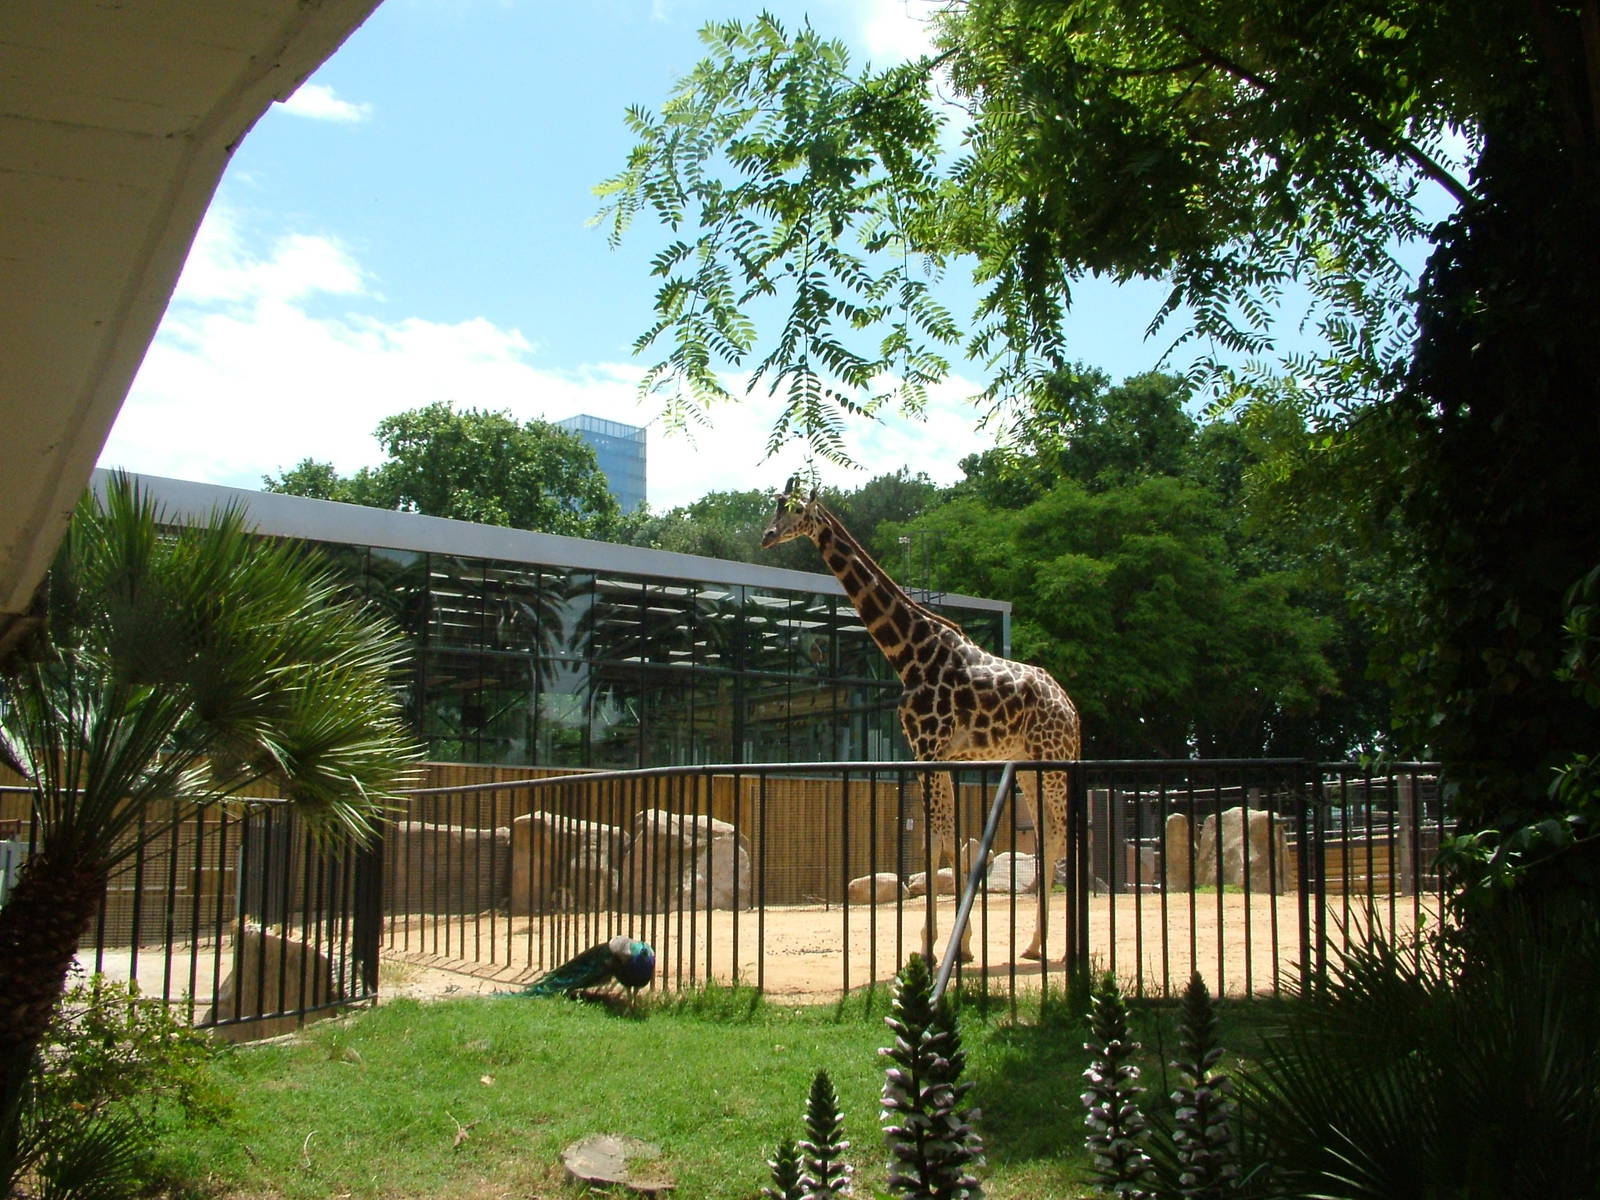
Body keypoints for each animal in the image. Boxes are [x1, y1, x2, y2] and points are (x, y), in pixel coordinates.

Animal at [762, 476, 1081, 962]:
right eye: (776, 504)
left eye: (797, 510)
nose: (767, 536)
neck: (910, 655)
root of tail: (1071, 708)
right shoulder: (930, 753)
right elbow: (947, 840)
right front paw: (960, 945)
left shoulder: (930, 748)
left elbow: (934, 841)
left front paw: (932, 946)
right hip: (1029, 764)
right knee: (1047, 835)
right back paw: (1034, 945)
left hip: (1054, 760)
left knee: (1063, 832)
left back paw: (1054, 947)